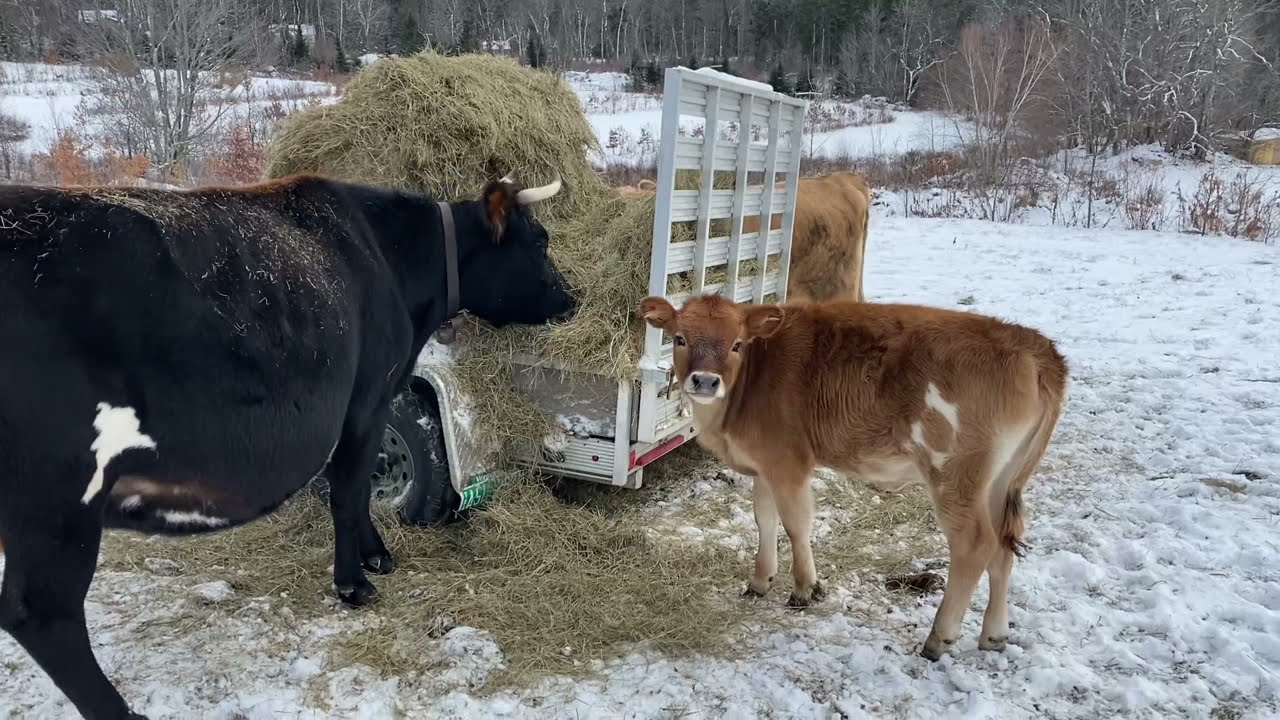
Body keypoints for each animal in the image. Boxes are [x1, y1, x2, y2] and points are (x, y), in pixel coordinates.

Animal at [0, 173, 576, 720]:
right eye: (540, 240)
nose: (573, 299)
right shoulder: (366, 399)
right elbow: (349, 492)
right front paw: (354, 583)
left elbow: (355, 490)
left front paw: (376, 555)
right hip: (60, 494)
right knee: (40, 612)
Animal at [639, 293, 1067, 660]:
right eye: (679, 338)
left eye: (737, 344)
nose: (705, 381)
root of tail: (1033, 345)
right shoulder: (763, 466)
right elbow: (765, 519)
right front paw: (760, 581)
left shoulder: (788, 464)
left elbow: (796, 524)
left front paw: (805, 588)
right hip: (999, 481)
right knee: (1003, 547)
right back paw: (994, 634)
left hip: (956, 473)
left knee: (975, 545)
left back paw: (938, 638)